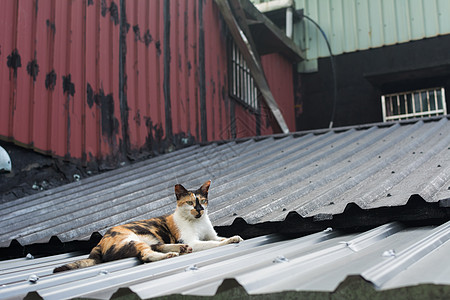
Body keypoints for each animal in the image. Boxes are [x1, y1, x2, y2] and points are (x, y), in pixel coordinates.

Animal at [53, 179, 243, 274]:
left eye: (202, 201)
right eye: (190, 202)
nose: (200, 210)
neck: (198, 222)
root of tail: (99, 243)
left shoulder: (212, 235)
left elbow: (217, 238)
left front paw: (231, 237)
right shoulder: (194, 241)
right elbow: (214, 243)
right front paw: (231, 240)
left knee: (156, 246)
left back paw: (180, 249)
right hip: (131, 240)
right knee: (146, 255)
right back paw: (172, 253)